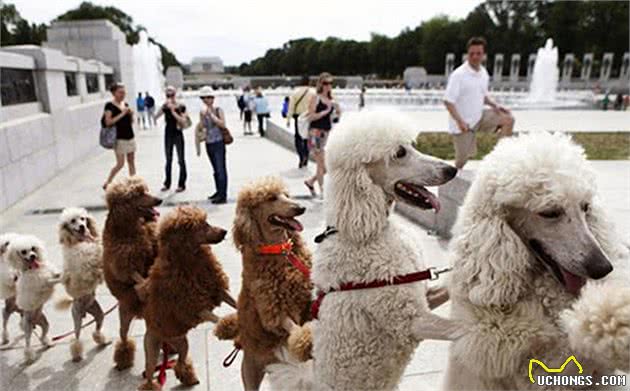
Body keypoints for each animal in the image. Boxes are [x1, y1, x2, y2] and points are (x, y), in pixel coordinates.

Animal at [6, 234, 60, 362]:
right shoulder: (43, 283)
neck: (33, 268)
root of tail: (34, 321)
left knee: (43, 335)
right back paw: (29, 355)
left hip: (44, 323)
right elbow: (51, 280)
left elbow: (55, 274)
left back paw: (47, 342)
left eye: (33, 248)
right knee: (28, 343)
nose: (33, 256)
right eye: (23, 251)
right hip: (28, 328)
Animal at [57, 207, 109, 362]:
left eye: (83, 218)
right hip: (77, 320)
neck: (79, 241)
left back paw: (102, 340)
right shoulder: (84, 260)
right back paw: (77, 355)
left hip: (99, 314)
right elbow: (95, 252)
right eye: (72, 221)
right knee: (76, 339)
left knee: (97, 329)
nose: (82, 227)